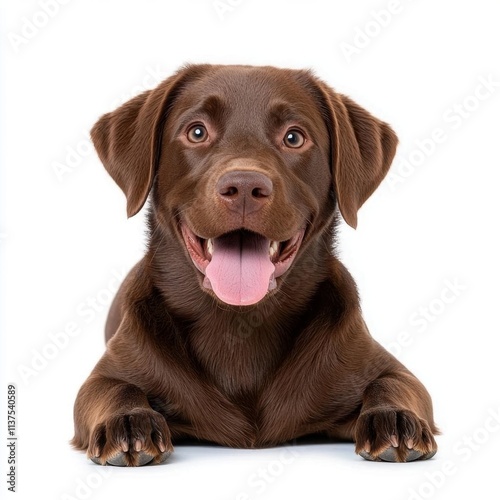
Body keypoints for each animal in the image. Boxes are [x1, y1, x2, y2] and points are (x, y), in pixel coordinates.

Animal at [70, 64, 438, 466]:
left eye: (294, 137)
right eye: (196, 131)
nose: (244, 186)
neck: (240, 324)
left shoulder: (386, 366)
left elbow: (393, 383)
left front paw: (394, 417)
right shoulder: (105, 375)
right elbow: (113, 389)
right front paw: (129, 420)